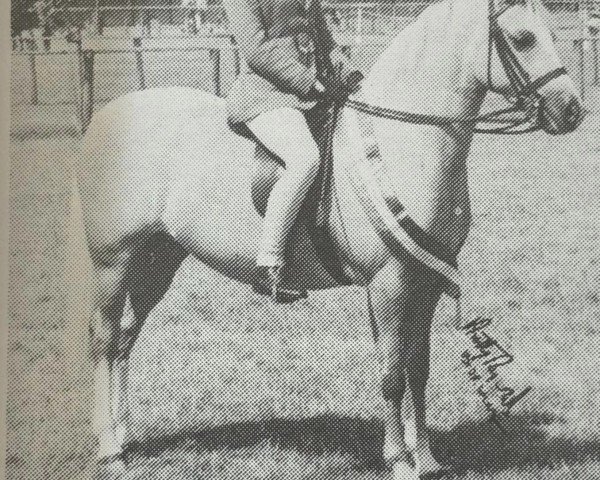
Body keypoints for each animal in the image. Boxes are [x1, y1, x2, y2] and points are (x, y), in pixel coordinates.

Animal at [68, 0, 584, 476]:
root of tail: (107, 117)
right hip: (114, 261)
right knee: (104, 339)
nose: (572, 111)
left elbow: (418, 368)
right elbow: (392, 374)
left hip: (158, 259)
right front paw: (399, 460)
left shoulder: (426, 280)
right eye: (521, 38)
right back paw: (108, 447)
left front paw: (427, 458)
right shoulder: (389, 283)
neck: (401, 142)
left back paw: (124, 436)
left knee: (126, 338)